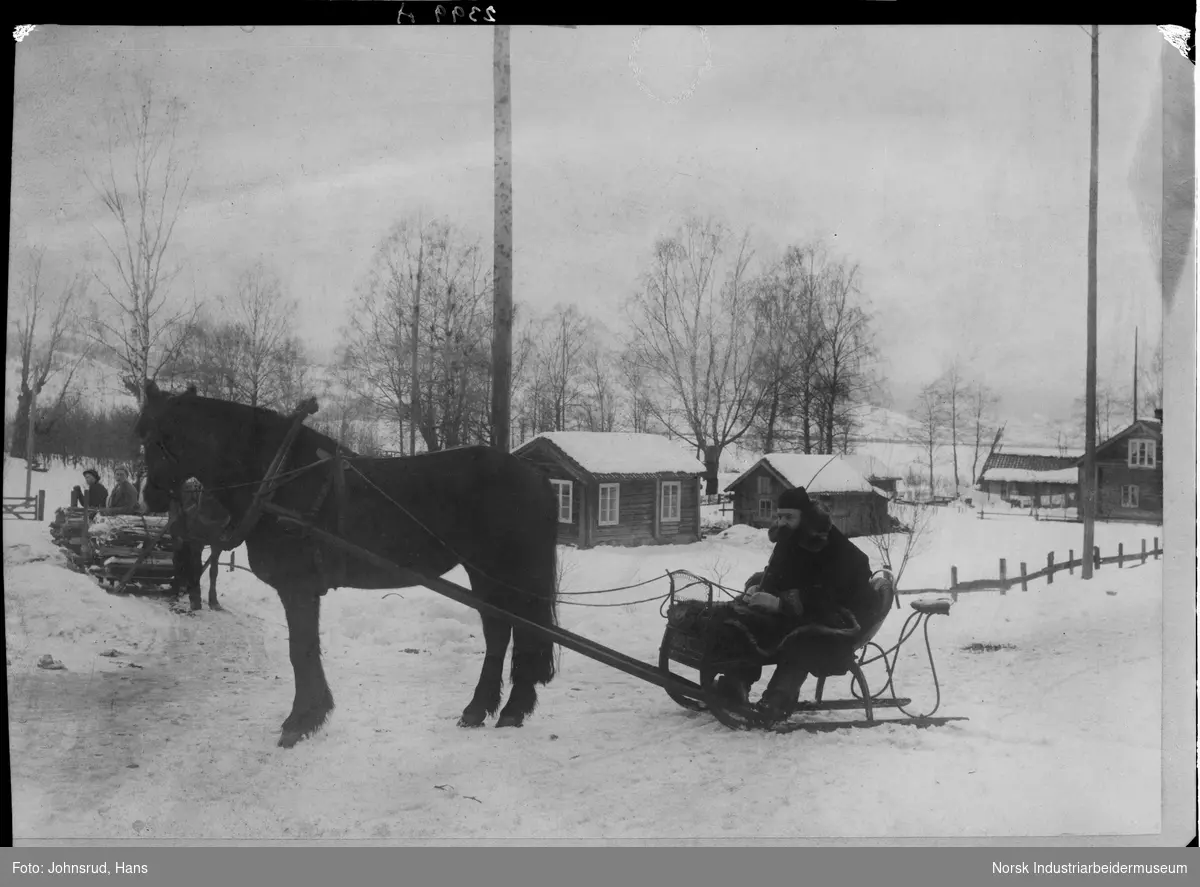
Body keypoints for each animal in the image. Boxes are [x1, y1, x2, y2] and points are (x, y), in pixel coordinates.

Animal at [137, 381, 561, 748]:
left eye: (161, 434)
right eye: (144, 433)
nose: (151, 497)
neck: (278, 478)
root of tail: (535, 474)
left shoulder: (298, 586)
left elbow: (301, 650)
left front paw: (301, 720)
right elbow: (305, 648)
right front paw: (312, 714)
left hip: (508, 569)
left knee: (520, 630)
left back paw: (511, 709)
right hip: (484, 572)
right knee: (499, 632)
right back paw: (481, 709)